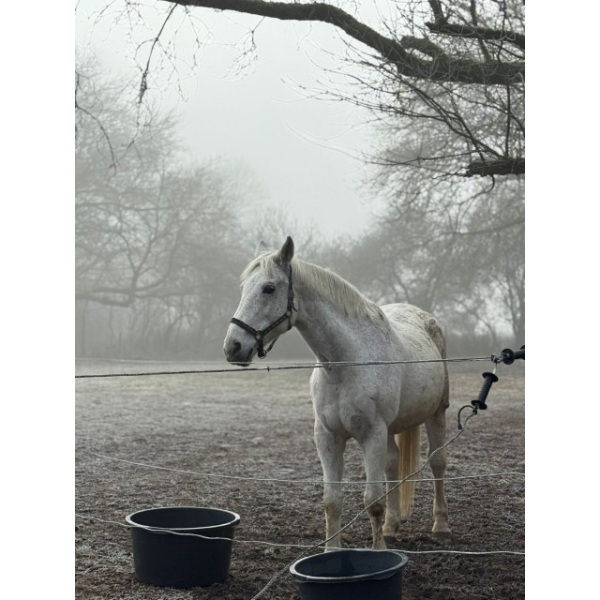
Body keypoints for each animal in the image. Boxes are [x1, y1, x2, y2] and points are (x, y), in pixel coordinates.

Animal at [223, 237, 451, 550]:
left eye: (268, 288)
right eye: (244, 287)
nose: (232, 347)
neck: (346, 362)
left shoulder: (372, 435)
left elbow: (372, 501)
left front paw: (378, 551)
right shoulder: (327, 436)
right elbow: (332, 501)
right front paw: (332, 550)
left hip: (436, 414)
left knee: (437, 463)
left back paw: (440, 526)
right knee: (393, 465)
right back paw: (391, 526)